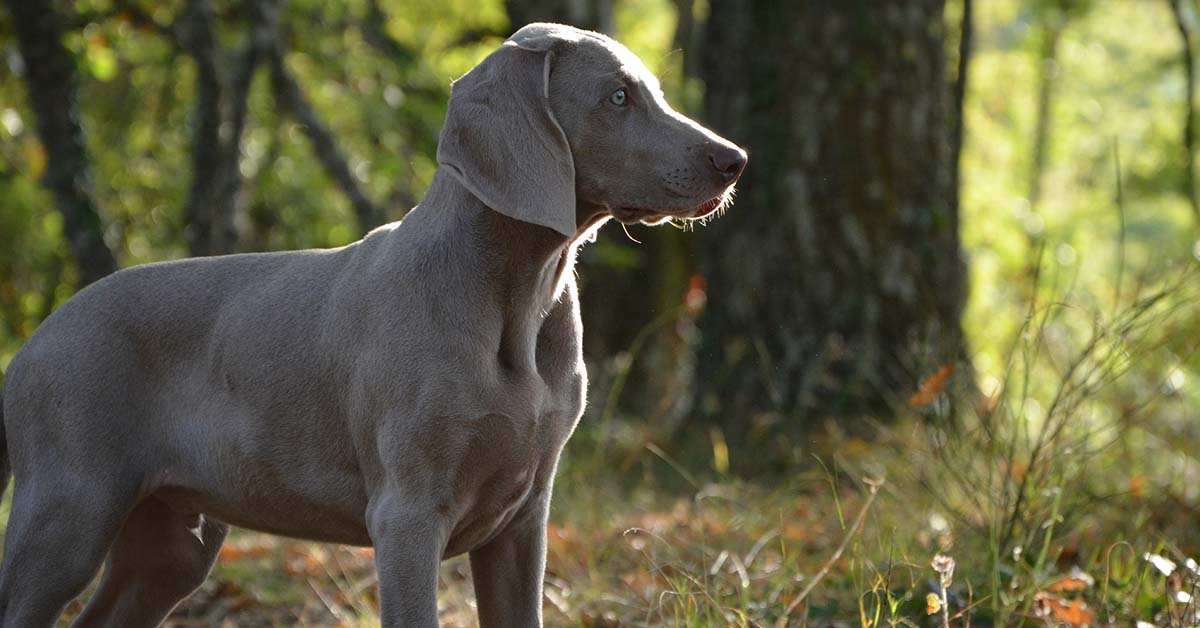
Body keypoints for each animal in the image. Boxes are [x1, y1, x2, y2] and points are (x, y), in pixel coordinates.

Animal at [0, 22, 739, 624]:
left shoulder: (524, 520)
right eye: (617, 98)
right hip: (69, 507)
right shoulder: (407, 516)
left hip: (171, 541)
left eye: (652, 92)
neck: (518, 299)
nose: (735, 161)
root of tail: (34, 342)